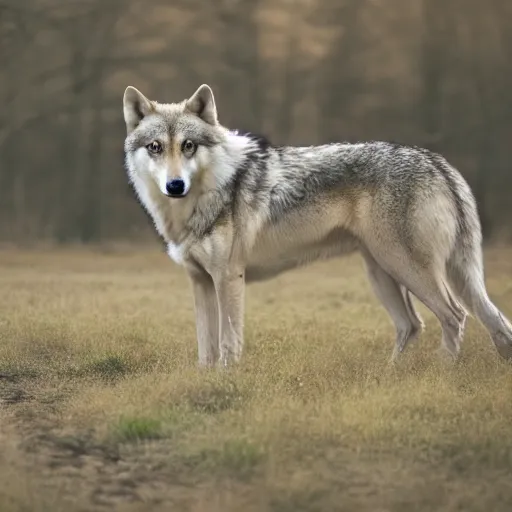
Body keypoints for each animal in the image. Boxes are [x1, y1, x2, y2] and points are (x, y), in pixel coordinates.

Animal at [121, 84, 512, 366]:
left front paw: (227, 381)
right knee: (415, 325)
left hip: (407, 270)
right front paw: (207, 380)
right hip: (383, 273)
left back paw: (442, 371)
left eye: (188, 145)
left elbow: (228, 346)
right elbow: (206, 349)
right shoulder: (200, 281)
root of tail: (437, 161)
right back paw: (390, 377)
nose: (175, 185)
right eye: (156, 147)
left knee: (455, 316)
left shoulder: (228, 278)